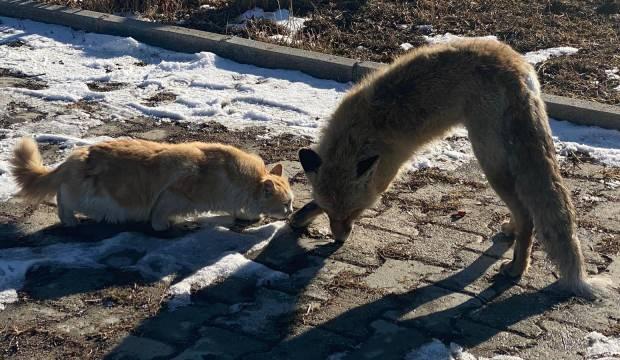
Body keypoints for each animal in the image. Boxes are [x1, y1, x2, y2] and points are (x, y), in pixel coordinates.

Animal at [10, 138, 294, 231]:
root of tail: (75, 155)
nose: (291, 213)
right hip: (88, 197)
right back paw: (70, 220)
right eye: (287, 204)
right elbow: (159, 216)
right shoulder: (173, 194)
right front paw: (164, 226)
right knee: (63, 200)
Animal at [290, 38, 600, 300]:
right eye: (331, 213)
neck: (358, 134)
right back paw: (510, 231)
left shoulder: (385, 173)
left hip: (490, 162)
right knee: (525, 210)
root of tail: (517, 66)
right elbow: (312, 200)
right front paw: (301, 216)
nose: (339, 240)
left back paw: (516, 269)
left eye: (355, 212)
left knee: (528, 216)